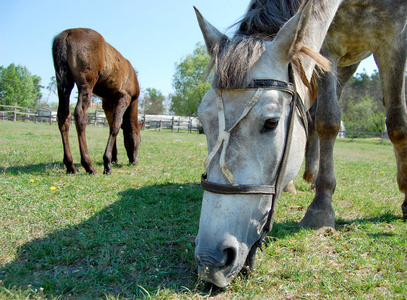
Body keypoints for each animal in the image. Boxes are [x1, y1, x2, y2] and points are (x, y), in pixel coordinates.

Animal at [52, 28, 142, 175]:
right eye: (140, 139)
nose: (134, 161)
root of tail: (68, 33)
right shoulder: (123, 97)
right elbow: (116, 126)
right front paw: (107, 163)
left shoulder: (107, 103)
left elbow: (111, 126)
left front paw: (113, 158)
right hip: (86, 82)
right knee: (80, 115)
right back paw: (88, 165)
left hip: (63, 83)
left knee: (63, 116)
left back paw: (70, 165)